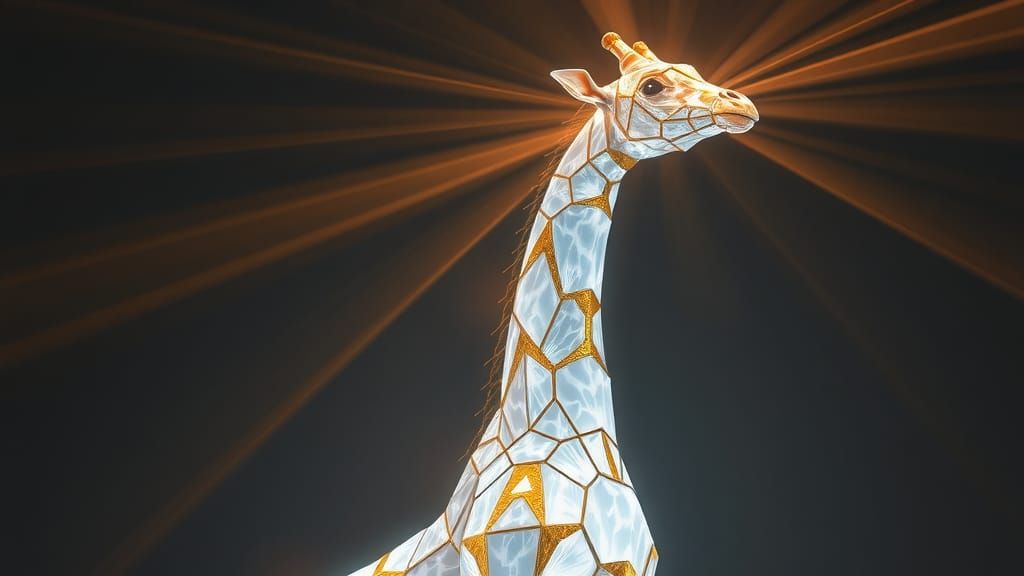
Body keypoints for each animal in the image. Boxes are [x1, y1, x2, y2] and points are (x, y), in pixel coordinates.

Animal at [347, 33, 757, 576]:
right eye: (651, 86)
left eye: (691, 66)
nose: (742, 105)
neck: (553, 423)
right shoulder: (508, 556)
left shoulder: (630, 563)